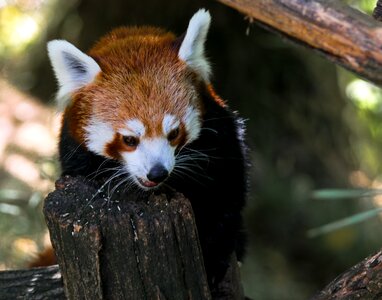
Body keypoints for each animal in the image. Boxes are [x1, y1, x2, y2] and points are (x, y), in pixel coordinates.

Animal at [47, 8, 248, 292]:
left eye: (173, 133)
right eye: (130, 140)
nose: (157, 173)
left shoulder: (221, 137)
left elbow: (225, 196)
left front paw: (214, 258)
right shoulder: (74, 151)